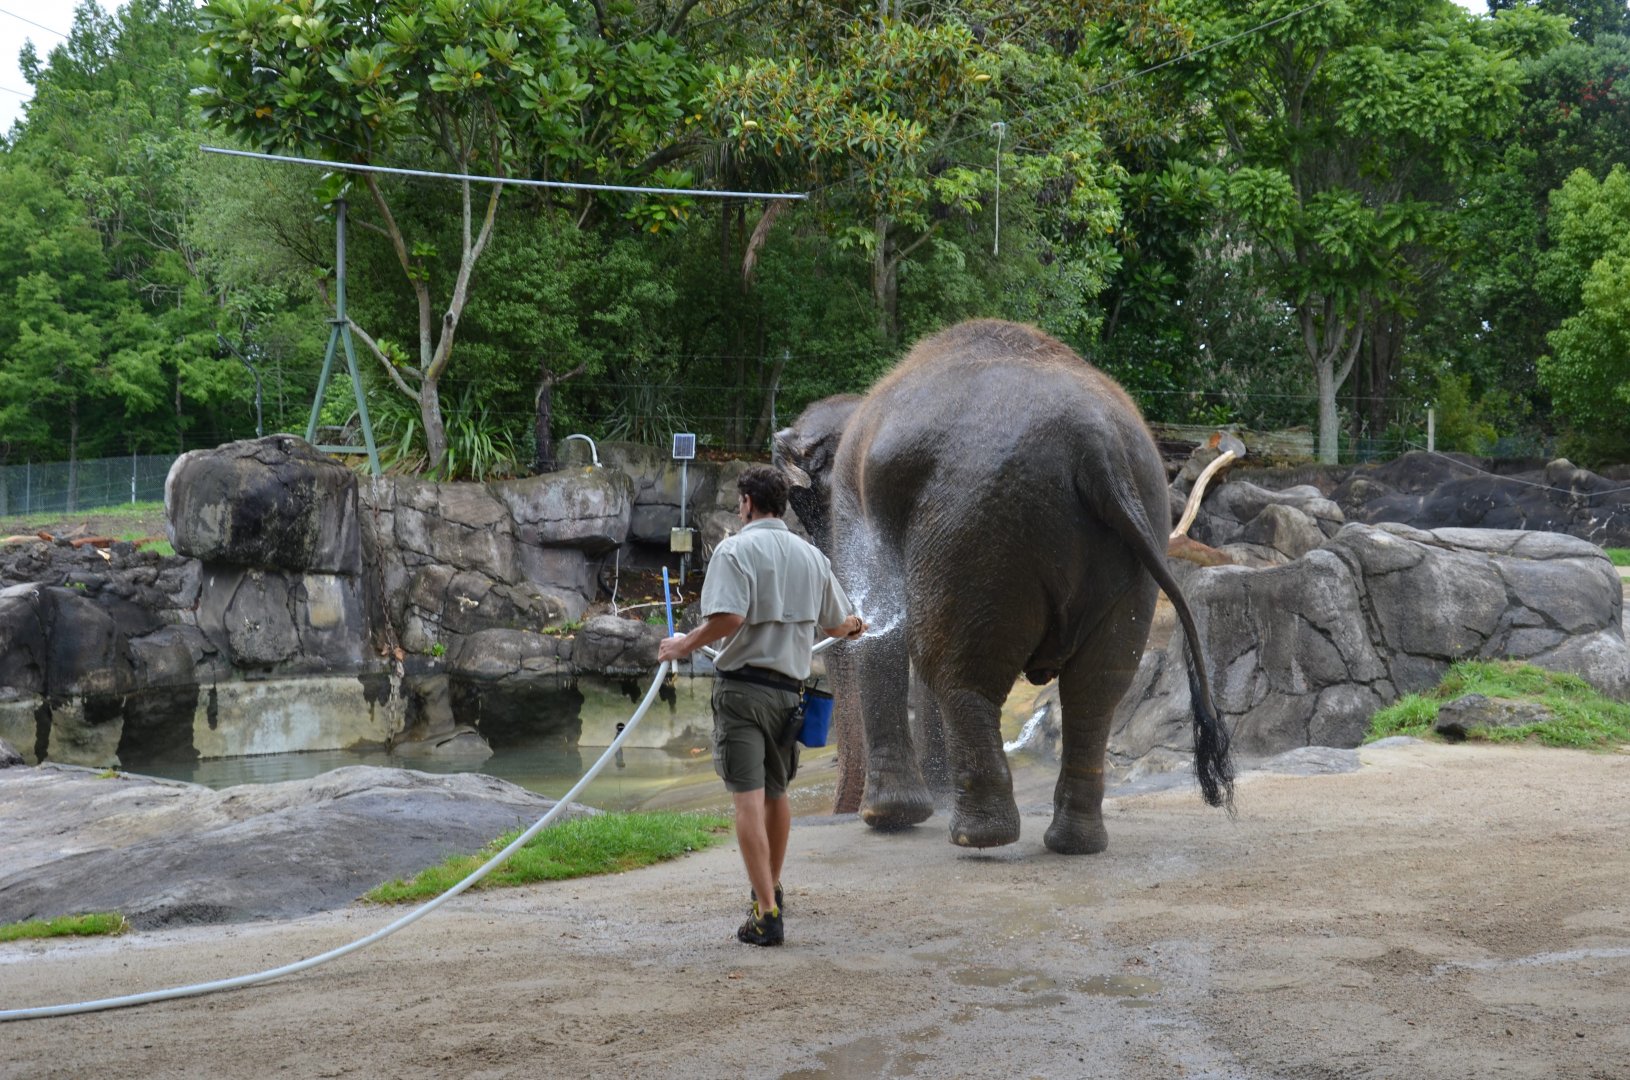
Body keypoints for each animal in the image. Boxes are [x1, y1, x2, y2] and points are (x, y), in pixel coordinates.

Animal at [774, 319, 1233, 854]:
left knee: (955, 667)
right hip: (1135, 530)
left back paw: (977, 838)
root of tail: (1095, 444)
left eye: (804, 505)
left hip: (978, 527)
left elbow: (883, 629)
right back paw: (1072, 843)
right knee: (1099, 684)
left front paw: (887, 818)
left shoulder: (858, 501)